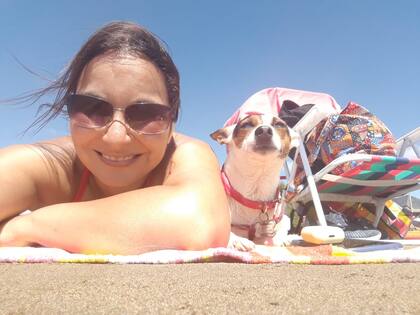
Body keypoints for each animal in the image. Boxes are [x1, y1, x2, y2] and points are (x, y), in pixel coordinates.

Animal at [210, 112, 296, 251]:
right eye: (246, 125)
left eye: (279, 124)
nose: (264, 130)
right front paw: (236, 240)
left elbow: (275, 234)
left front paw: (283, 239)